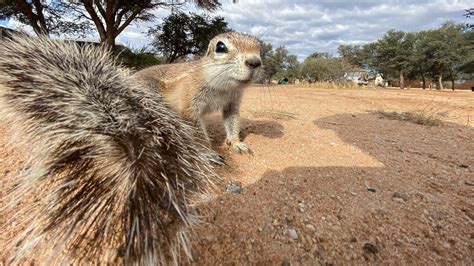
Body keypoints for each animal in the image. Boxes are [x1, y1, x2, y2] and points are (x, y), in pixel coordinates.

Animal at [134, 31, 262, 154]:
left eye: (260, 48)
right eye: (220, 47)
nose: (255, 62)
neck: (224, 88)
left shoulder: (232, 102)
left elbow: (233, 121)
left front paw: (237, 143)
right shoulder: (190, 98)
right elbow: (197, 132)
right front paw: (208, 152)